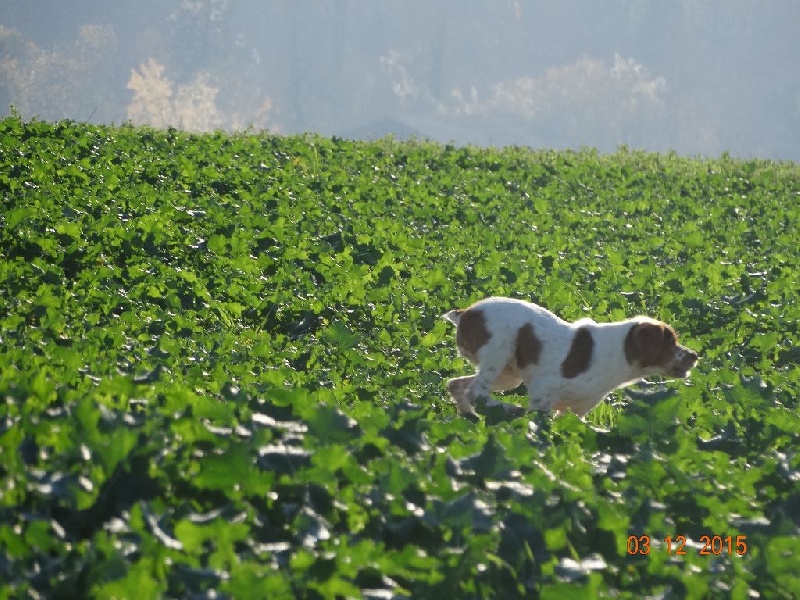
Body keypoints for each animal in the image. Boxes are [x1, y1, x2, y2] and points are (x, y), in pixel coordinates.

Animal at [443, 297, 698, 418]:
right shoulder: (543, 390)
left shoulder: (575, 412)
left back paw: (471, 417)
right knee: (478, 392)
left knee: (457, 385)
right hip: (501, 349)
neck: (619, 354)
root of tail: (466, 312)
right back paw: (509, 409)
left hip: (509, 376)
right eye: (671, 343)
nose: (695, 355)